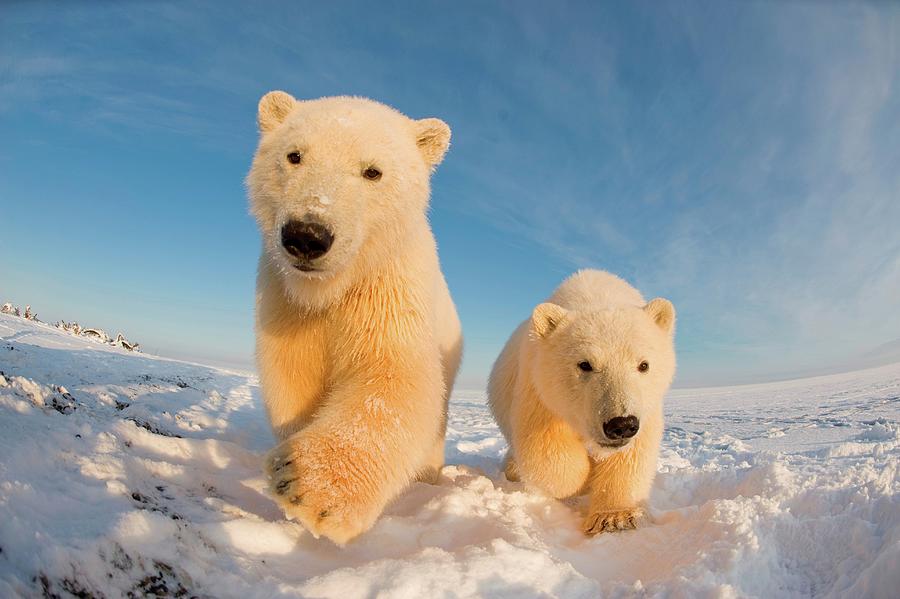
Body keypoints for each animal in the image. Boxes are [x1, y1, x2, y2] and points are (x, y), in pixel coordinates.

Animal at [246, 91, 464, 548]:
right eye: (294, 155)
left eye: (372, 171)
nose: (307, 235)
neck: (332, 289)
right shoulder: (285, 299)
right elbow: (294, 374)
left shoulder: (389, 288)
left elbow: (393, 378)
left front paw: (307, 483)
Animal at [488, 270, 672, 536]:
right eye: (585, 364)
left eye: (643, 365)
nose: (621, 424)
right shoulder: (540, 385)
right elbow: (545, 448)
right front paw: (585, 481)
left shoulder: (646, 406)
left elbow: (634, 453)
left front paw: (614, 517)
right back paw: (512, 469)